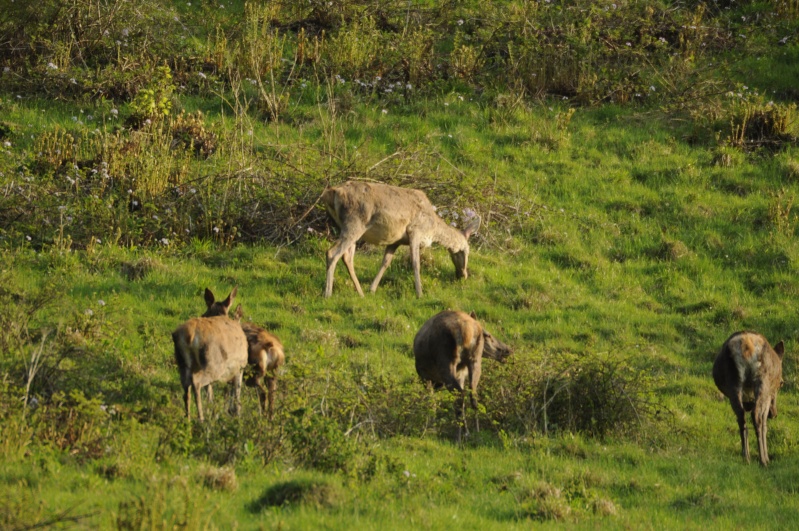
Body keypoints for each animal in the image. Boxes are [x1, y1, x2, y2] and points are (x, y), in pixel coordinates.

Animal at [173, 288, 248, 422]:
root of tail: (188, 337)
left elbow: (210, 392)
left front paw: (213, 412)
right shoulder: (240, 366)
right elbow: (237, 392)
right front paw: (237, 414)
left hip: (182, 363)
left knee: (186, 388)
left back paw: (188, 418)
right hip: (212, 363)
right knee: (196, 383)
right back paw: (201, 419)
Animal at [320, 182, 482, 300]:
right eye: (466, 251)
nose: (463, 275)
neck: (432, 229)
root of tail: (331, 193)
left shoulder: (395, 241)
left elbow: (385, 262)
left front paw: (372, 289)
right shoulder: (415, 232)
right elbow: (416, 263)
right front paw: (419, 293)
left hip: (348, 227)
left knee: (347, 257)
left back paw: (360, 293)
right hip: (355, 223)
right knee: (332, 253)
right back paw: (327, 294)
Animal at [416, 310, 510, 442]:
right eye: (488, 335)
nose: (507, 349)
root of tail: (465, 330)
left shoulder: (424, 375)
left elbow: (431, 402)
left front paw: (430, 427)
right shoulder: (459, 375)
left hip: (446, 361)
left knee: (459, 396)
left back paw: (460, 435)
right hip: (475, 360)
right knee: (472, 395)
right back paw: (475, 432)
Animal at [712, 330, 788, 468]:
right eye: (781, 383)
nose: (774, 413)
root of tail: (746, 344)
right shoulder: (768, 397)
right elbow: (764, 425)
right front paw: (767, 457)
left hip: (733, 381)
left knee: (741, 416)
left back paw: (746, 457)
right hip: (762, 380)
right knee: (756, 415)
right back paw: (763, 460)